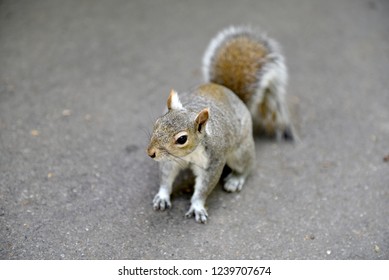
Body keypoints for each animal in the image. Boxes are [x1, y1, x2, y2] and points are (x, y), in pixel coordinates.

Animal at [147, 25, 292, 223]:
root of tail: (229, 92)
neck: (189, 155)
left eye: (182, 139)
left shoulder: (214, 162)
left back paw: (236, 179)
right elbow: (166, 177)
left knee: (247, 165)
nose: (151, 153)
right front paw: (162, 196)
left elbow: (204, 187)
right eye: (157, 123)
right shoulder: (170, 161)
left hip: (240, 152)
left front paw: (197, 206)